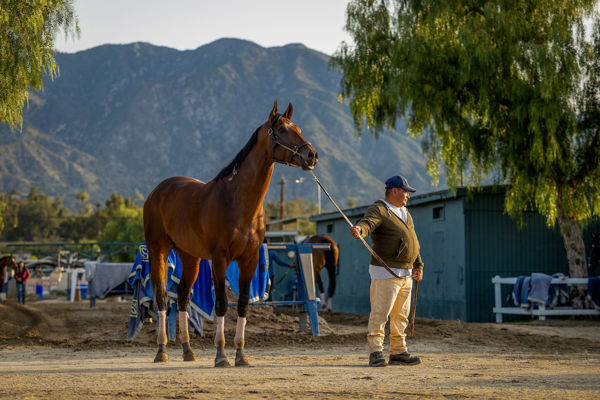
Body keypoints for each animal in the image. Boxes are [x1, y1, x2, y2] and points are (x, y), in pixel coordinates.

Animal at [144, 101, 318, 368]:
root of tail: (158, 192)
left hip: (190, 258)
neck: (237, 201)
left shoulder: (249, 260)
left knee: (182, 297)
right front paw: (221, 355)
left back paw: (187, 350)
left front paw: (241, 355)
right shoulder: (220, 260)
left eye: (297, 128)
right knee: (162, 297)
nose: (311, 155)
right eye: (281, 129)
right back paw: (161, 350)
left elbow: (243, 304)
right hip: (158, 251)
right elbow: (222, 305)